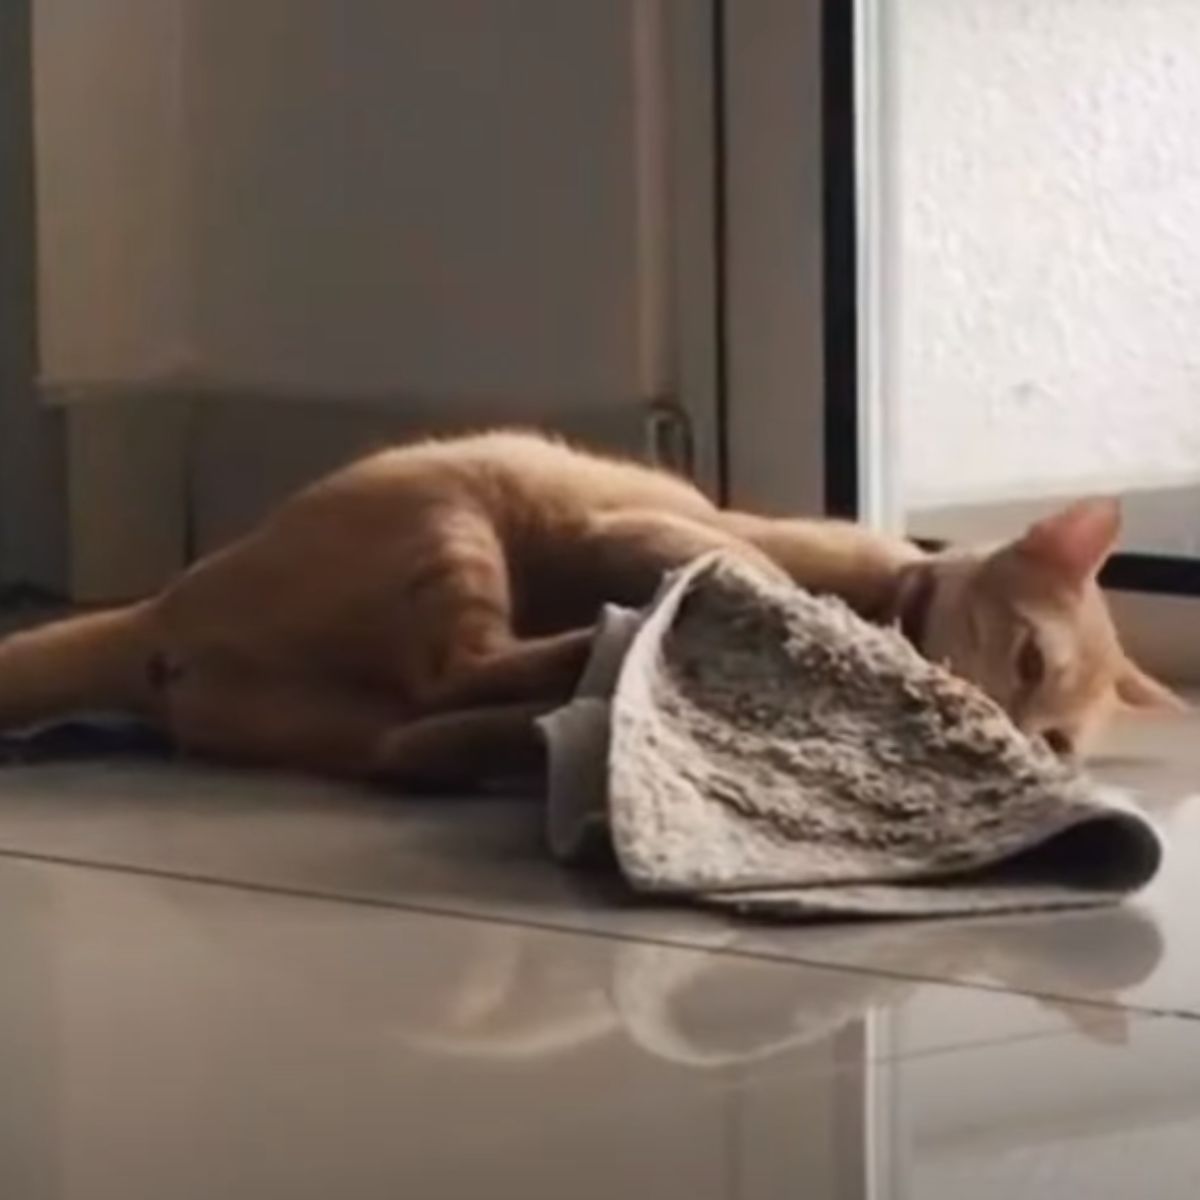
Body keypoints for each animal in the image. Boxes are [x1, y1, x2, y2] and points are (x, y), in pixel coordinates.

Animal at [0, 432, 1176, 787]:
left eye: (1057, 741)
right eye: (1028, 660)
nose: (1008, 735)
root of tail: (159, 611)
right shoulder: (646, 525)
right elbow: (750, 564)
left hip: (352, 719)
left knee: (418, 732)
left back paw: (553, 709)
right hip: (450, 522)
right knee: (459, 665)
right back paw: (595, 645)